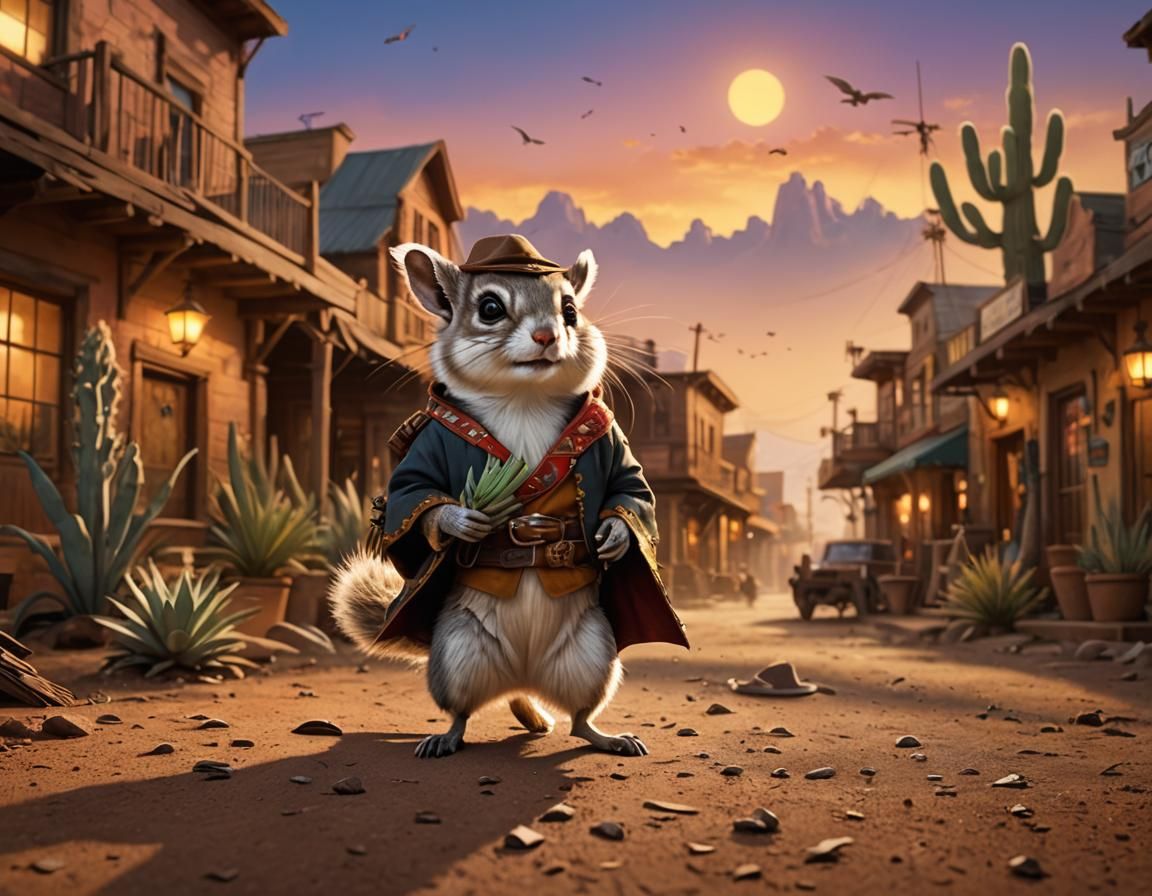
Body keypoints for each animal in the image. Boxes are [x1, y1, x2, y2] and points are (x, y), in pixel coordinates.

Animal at [329, 234, 687, 758]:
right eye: (490, 308)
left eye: (570, 310)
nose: (547, 336)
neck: (524, 397)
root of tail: (523, 676)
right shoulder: (427, 446)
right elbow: (412, 492)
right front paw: (459, 521)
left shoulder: (608, 436)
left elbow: (631, 485)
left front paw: (616, 534)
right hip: (458, 654)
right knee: (462, 710)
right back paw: (448, 736)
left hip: (592, 657)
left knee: (579, 717)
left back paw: (601, 735)